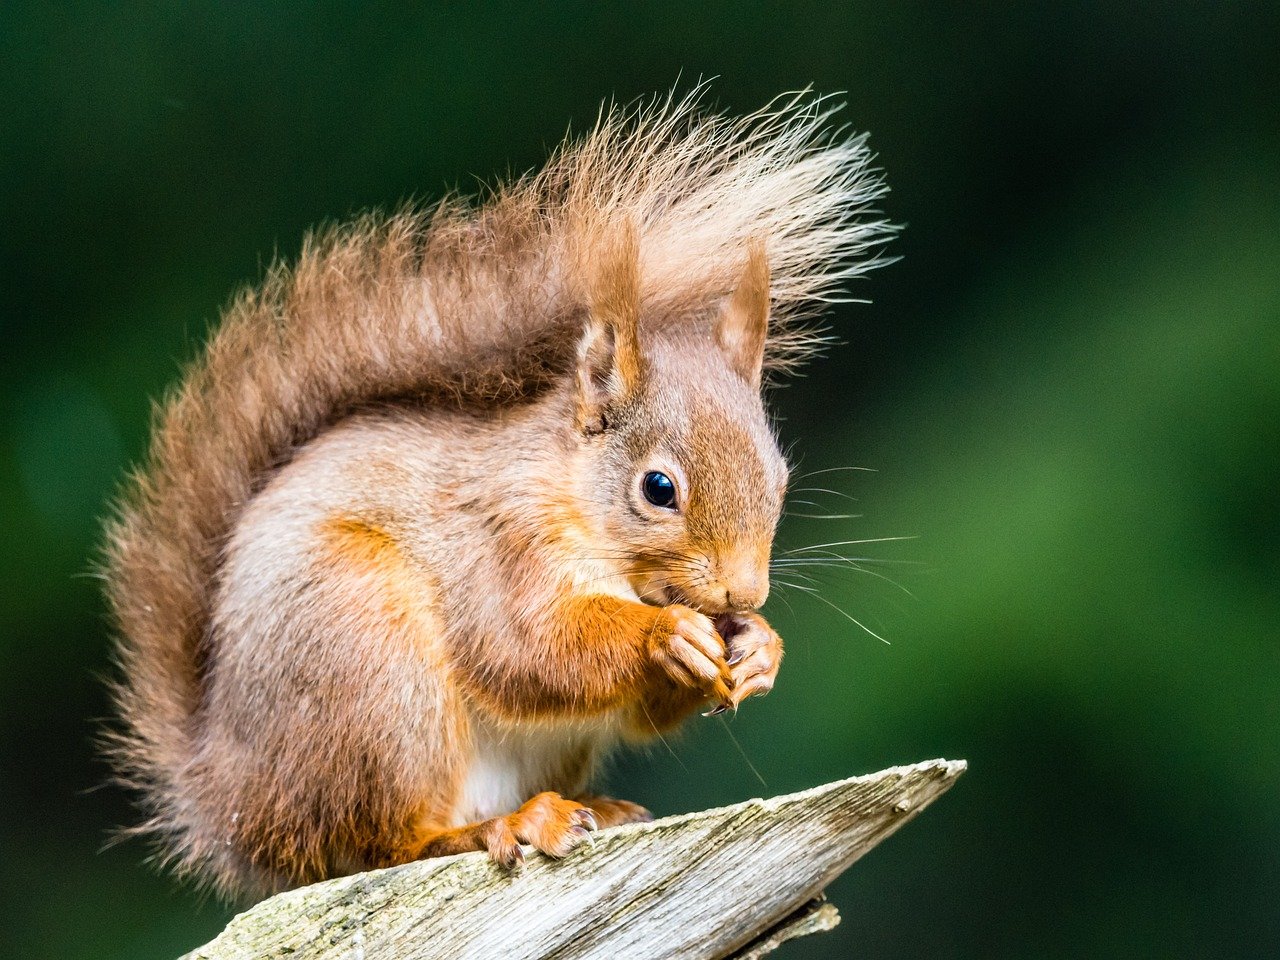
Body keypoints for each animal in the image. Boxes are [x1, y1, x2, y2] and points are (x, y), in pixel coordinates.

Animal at [101, 90, 893, 899]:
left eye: (780, 478)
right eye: (658, 488)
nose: (743, 595)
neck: (572, 494)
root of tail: (231, 798)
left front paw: (760, 648)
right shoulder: (498, 539)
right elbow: (523, 649)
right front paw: (664, 634)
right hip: (365, 655)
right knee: (384, 843)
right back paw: (496, 826)